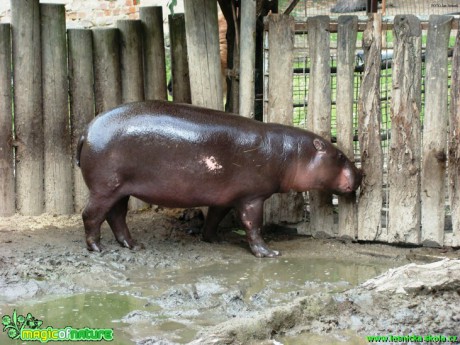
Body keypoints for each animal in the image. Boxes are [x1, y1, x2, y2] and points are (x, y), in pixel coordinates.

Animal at [77, 99, 362, 255]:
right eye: (339, 156)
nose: (361, 173)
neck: (291, 153)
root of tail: (87, 130)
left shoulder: (225, 197)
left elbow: (214, 218)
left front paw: (214, 239)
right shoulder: (252, 197)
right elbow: (252, 225)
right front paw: (269, 253)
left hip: (121, 189)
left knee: (117, 216)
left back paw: (133, 245)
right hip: (105, 187)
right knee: (91, 215)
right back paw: (97, 248)